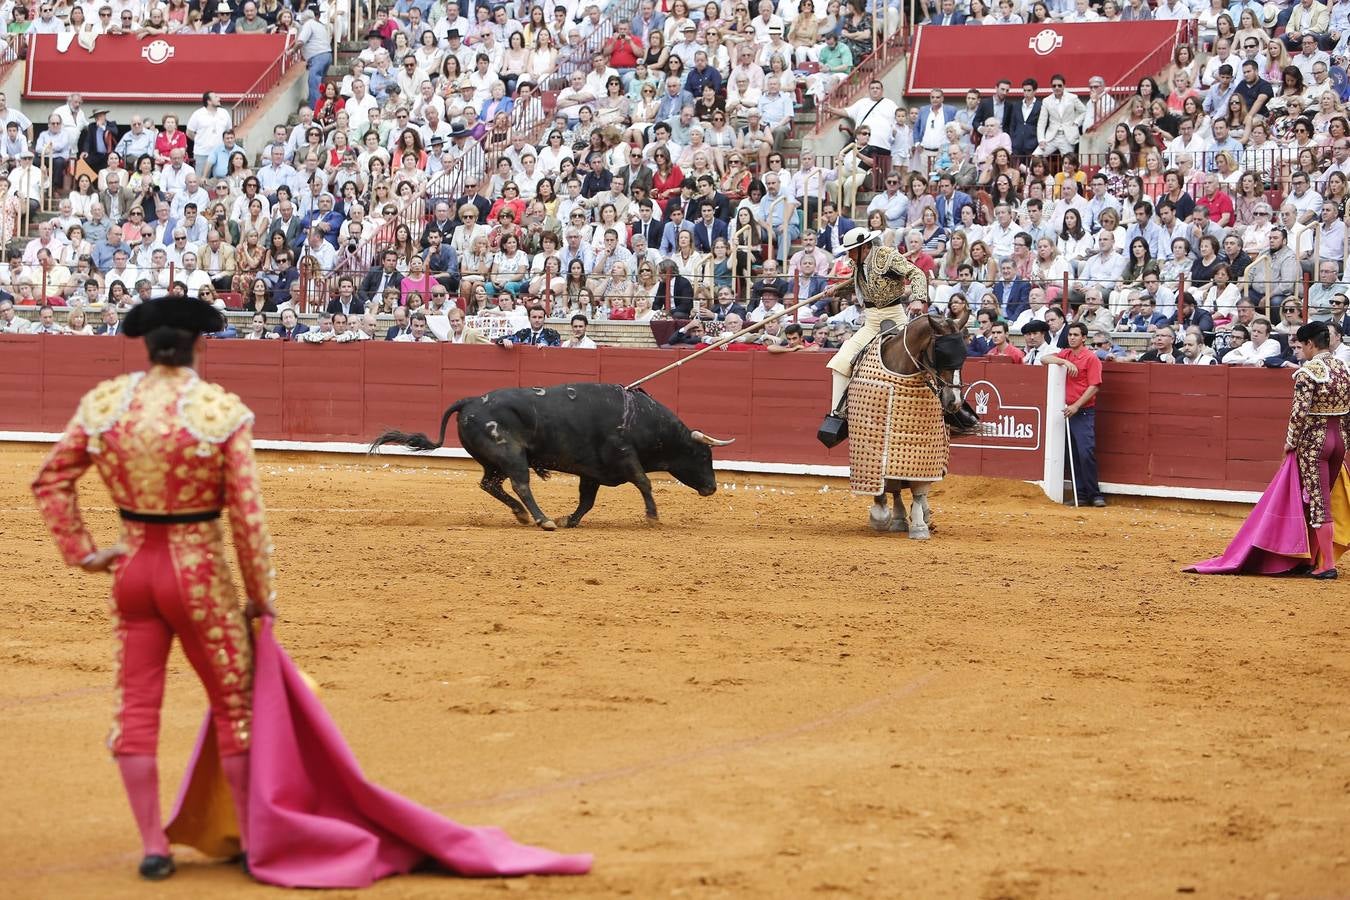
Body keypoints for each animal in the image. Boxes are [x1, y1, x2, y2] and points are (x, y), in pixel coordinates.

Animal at [369, 383, 734, 531]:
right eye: (703, 455)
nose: (713, 487)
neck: (640, 419)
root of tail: (469, 400)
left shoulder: (592, 473)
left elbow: (587, 501)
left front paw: (570, 520)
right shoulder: (624, 456)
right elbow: (644, 482)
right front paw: (653, 517)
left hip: (493, 461)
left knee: (490, 484)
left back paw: (523, 515)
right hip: (511, 455)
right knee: (521, 485)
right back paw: (542, 519)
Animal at [858, 315, 977, 539]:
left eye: (964, 357)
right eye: (940, 355)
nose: (954, 401)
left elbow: (918, 486)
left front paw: (920, 523)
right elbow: (887, 480)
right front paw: (883, 515)